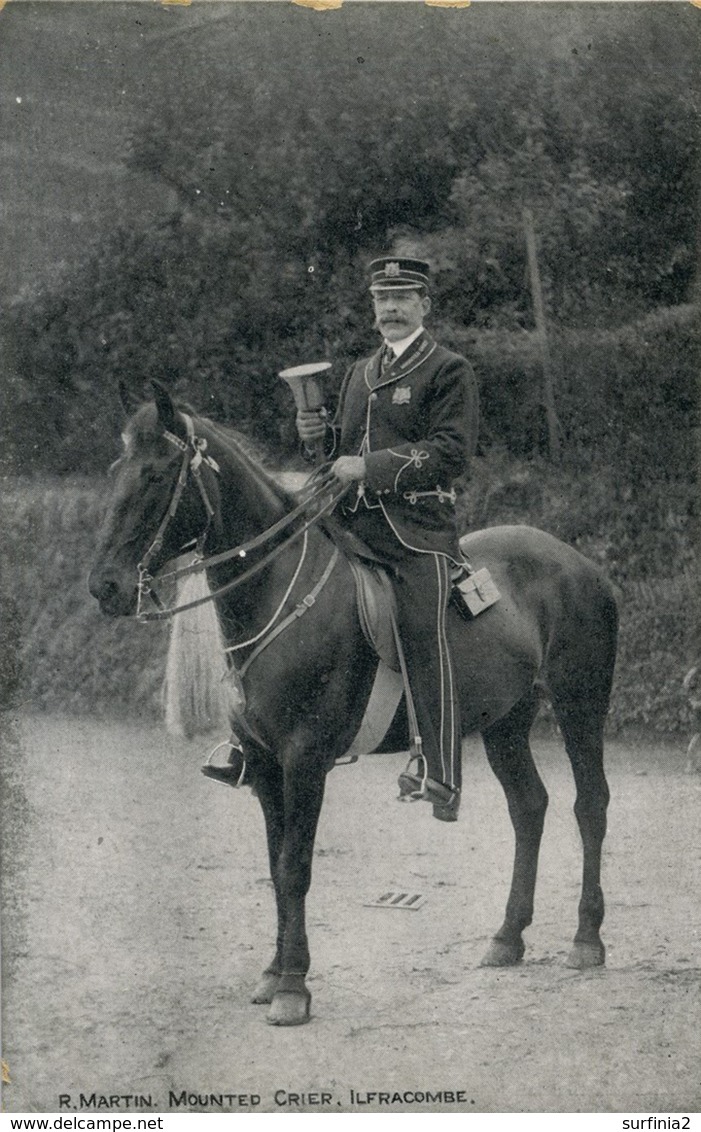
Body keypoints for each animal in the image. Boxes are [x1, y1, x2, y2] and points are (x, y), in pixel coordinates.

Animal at [88, 387, 620, 1027]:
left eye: (157, 473)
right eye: (118, 468)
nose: (106, 587)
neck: (278, 591)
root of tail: (581, 564)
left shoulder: (304, 760)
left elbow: (296, 867)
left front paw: (294, 988)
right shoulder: (265, 766)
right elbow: (276, 867)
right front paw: (273, 974)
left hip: (578, 705)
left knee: (589, 806)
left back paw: (586, 938)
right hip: (505, 723)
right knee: (529, 807)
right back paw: (508, 937)